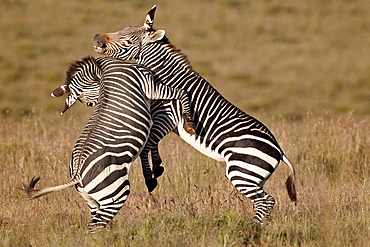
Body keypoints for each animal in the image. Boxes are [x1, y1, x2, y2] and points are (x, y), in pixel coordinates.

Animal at [22, 56, 197, 232]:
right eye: (89, 103)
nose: (96, 103)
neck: (104, 67)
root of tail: (77, 174)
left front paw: (156, 167)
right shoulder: (151, 86)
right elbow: (181, 93)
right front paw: (189, 122)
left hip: (92, 199)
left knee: (94, 221)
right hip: (114, 192)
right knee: (95, 225)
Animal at [92, 5, 298, 224]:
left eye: (128, 40)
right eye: (123, 28)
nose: (96, 38)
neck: (169, 78)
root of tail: (279, 151)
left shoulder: (167, 117)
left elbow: (147, 145)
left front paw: (150, 178)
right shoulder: (163, 120)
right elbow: (152, 145)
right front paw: (158, 168)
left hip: (242, 171)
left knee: (266, 201)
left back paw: (252, 227)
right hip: (251, 176)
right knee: (266, 201)